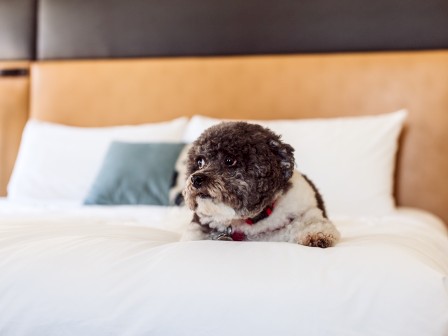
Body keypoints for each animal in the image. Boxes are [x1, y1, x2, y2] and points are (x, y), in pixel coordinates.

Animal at [181, 121, 340, 247]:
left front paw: (317, 235)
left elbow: (310, 222)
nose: (196, 179)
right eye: (200, 162)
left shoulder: (306, 210)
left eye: (229, 160)